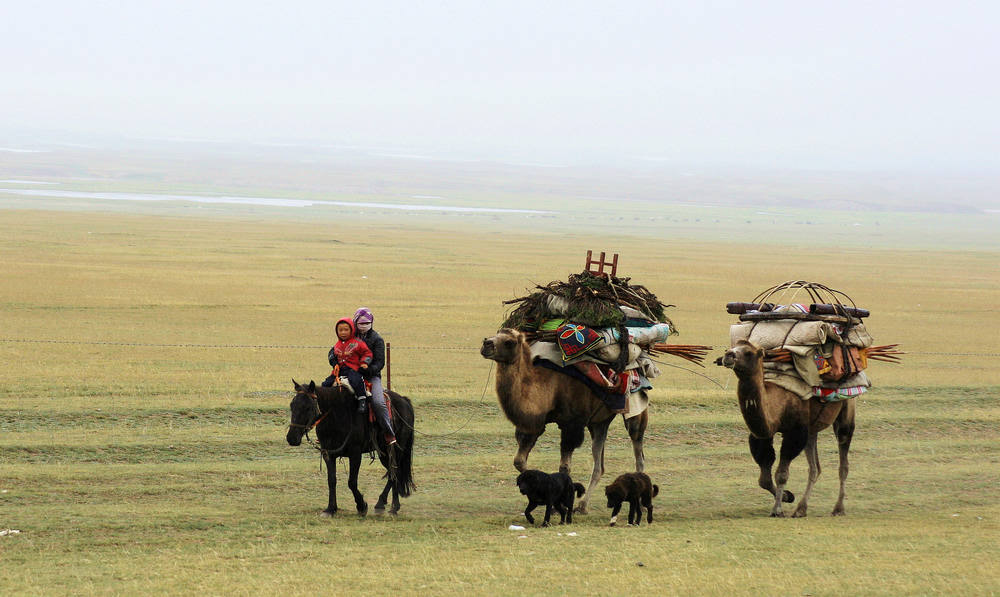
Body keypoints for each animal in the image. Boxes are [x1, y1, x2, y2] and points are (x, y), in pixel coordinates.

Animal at [288, 382, 416, 516]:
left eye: (308, 407)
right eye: (292, 405)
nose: (291, 438)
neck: (336, 415)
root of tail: (405, 401)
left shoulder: (355, 454)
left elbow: (352, 482)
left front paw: (361, 506)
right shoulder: (328, 453)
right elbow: (331, 480)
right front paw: (330, 509)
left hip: (396, 450)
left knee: (393, 472)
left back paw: (381, 504)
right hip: (384, 454)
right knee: (395, 472)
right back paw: (394, 507)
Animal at [482, 326, 652, 512]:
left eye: (509, 342)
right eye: (496, 333)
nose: (486, 343)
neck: (550, 388)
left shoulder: (573, 425)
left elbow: (564, 467)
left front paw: (559, 505)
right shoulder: (533, 425)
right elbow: (519, 461)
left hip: (635, 409)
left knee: (638, 451)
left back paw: (640, 504)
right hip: (599, 421)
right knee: (599, 462)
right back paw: (583, 505)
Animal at [716, 340, 856, 516]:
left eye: (748, 352)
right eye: (729, 348)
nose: (728, 355)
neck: (777, 403)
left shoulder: (795, 432)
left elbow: (781, 474)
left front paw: (777, 509)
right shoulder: (762, 434)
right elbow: (764, 479)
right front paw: (787, 496)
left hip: (846, 410)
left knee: (843, 461)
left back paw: (838, 509)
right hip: (811, 429)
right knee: (815, 467)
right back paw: (801, 509)